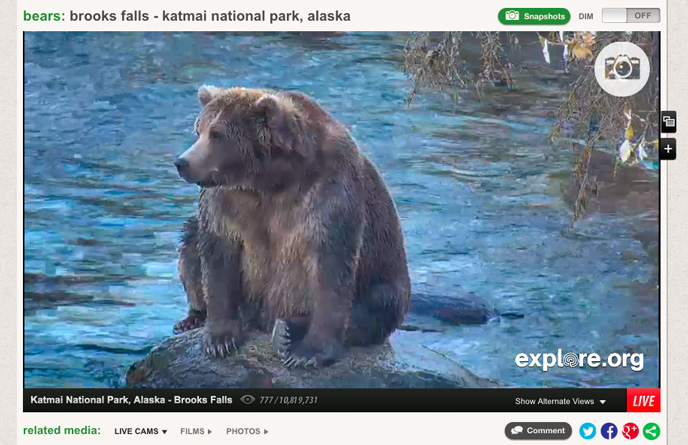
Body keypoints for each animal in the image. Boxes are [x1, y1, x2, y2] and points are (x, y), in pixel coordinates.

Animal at [171, 86, 412, 368]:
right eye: (198, 129)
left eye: (217, 133)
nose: (182, 162)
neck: (271, 180)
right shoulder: (228, 202)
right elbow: (218, 255)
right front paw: (220, 340)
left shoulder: (328, 192)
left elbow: (331, 269)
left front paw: (309, 353)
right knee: (190, 244)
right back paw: (193, 318)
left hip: (386, 275)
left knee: (378, 305)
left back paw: (287, 329)